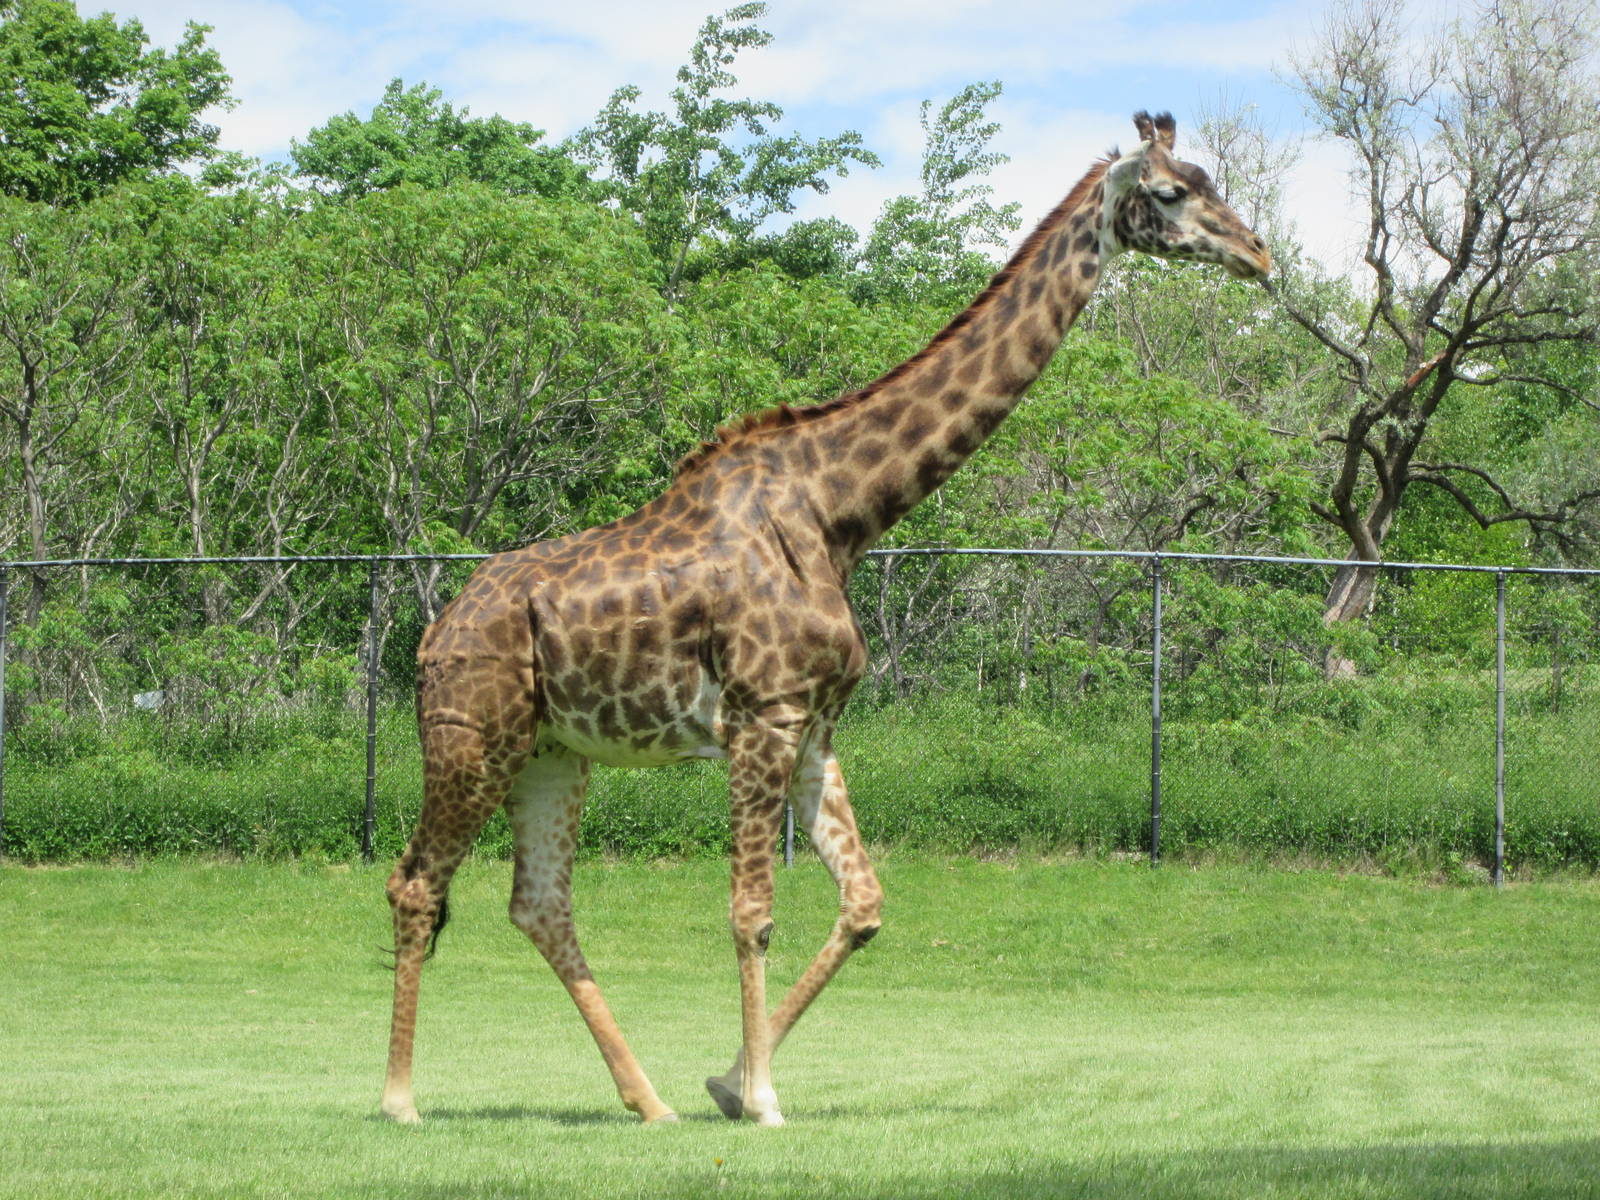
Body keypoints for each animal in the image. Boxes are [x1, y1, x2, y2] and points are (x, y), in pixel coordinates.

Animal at [379, 110, 1271, 1128]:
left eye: (1208, 179)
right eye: (1170, 192)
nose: (1260, 254)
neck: (840, 512)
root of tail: (432, 635)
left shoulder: (814, 727)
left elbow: (864, 903)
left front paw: (729, 1081)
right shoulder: (762, 717)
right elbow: (751, 913)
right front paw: (763, 1097)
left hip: (553, 753)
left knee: (539, 904)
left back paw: (649, 1100)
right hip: (471, 737)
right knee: (417, 882)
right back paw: (400, 1100)